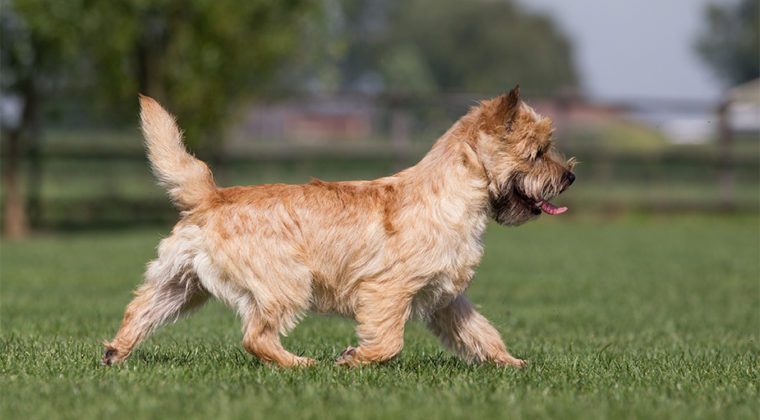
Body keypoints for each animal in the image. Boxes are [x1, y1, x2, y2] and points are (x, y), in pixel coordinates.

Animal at [102, 86, 576, 368]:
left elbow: (482, 333)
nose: (570, 176)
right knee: (255, 337)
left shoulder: (447, 297)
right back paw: (301, 364)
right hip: (286, 282)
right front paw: (354, 358)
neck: (454, 195)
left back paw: (114, 352)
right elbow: (390, 341)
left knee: (140, 309)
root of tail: (211, 196)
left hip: (181, 284)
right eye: (538, 153)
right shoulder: (388, 290)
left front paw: (513, 365)